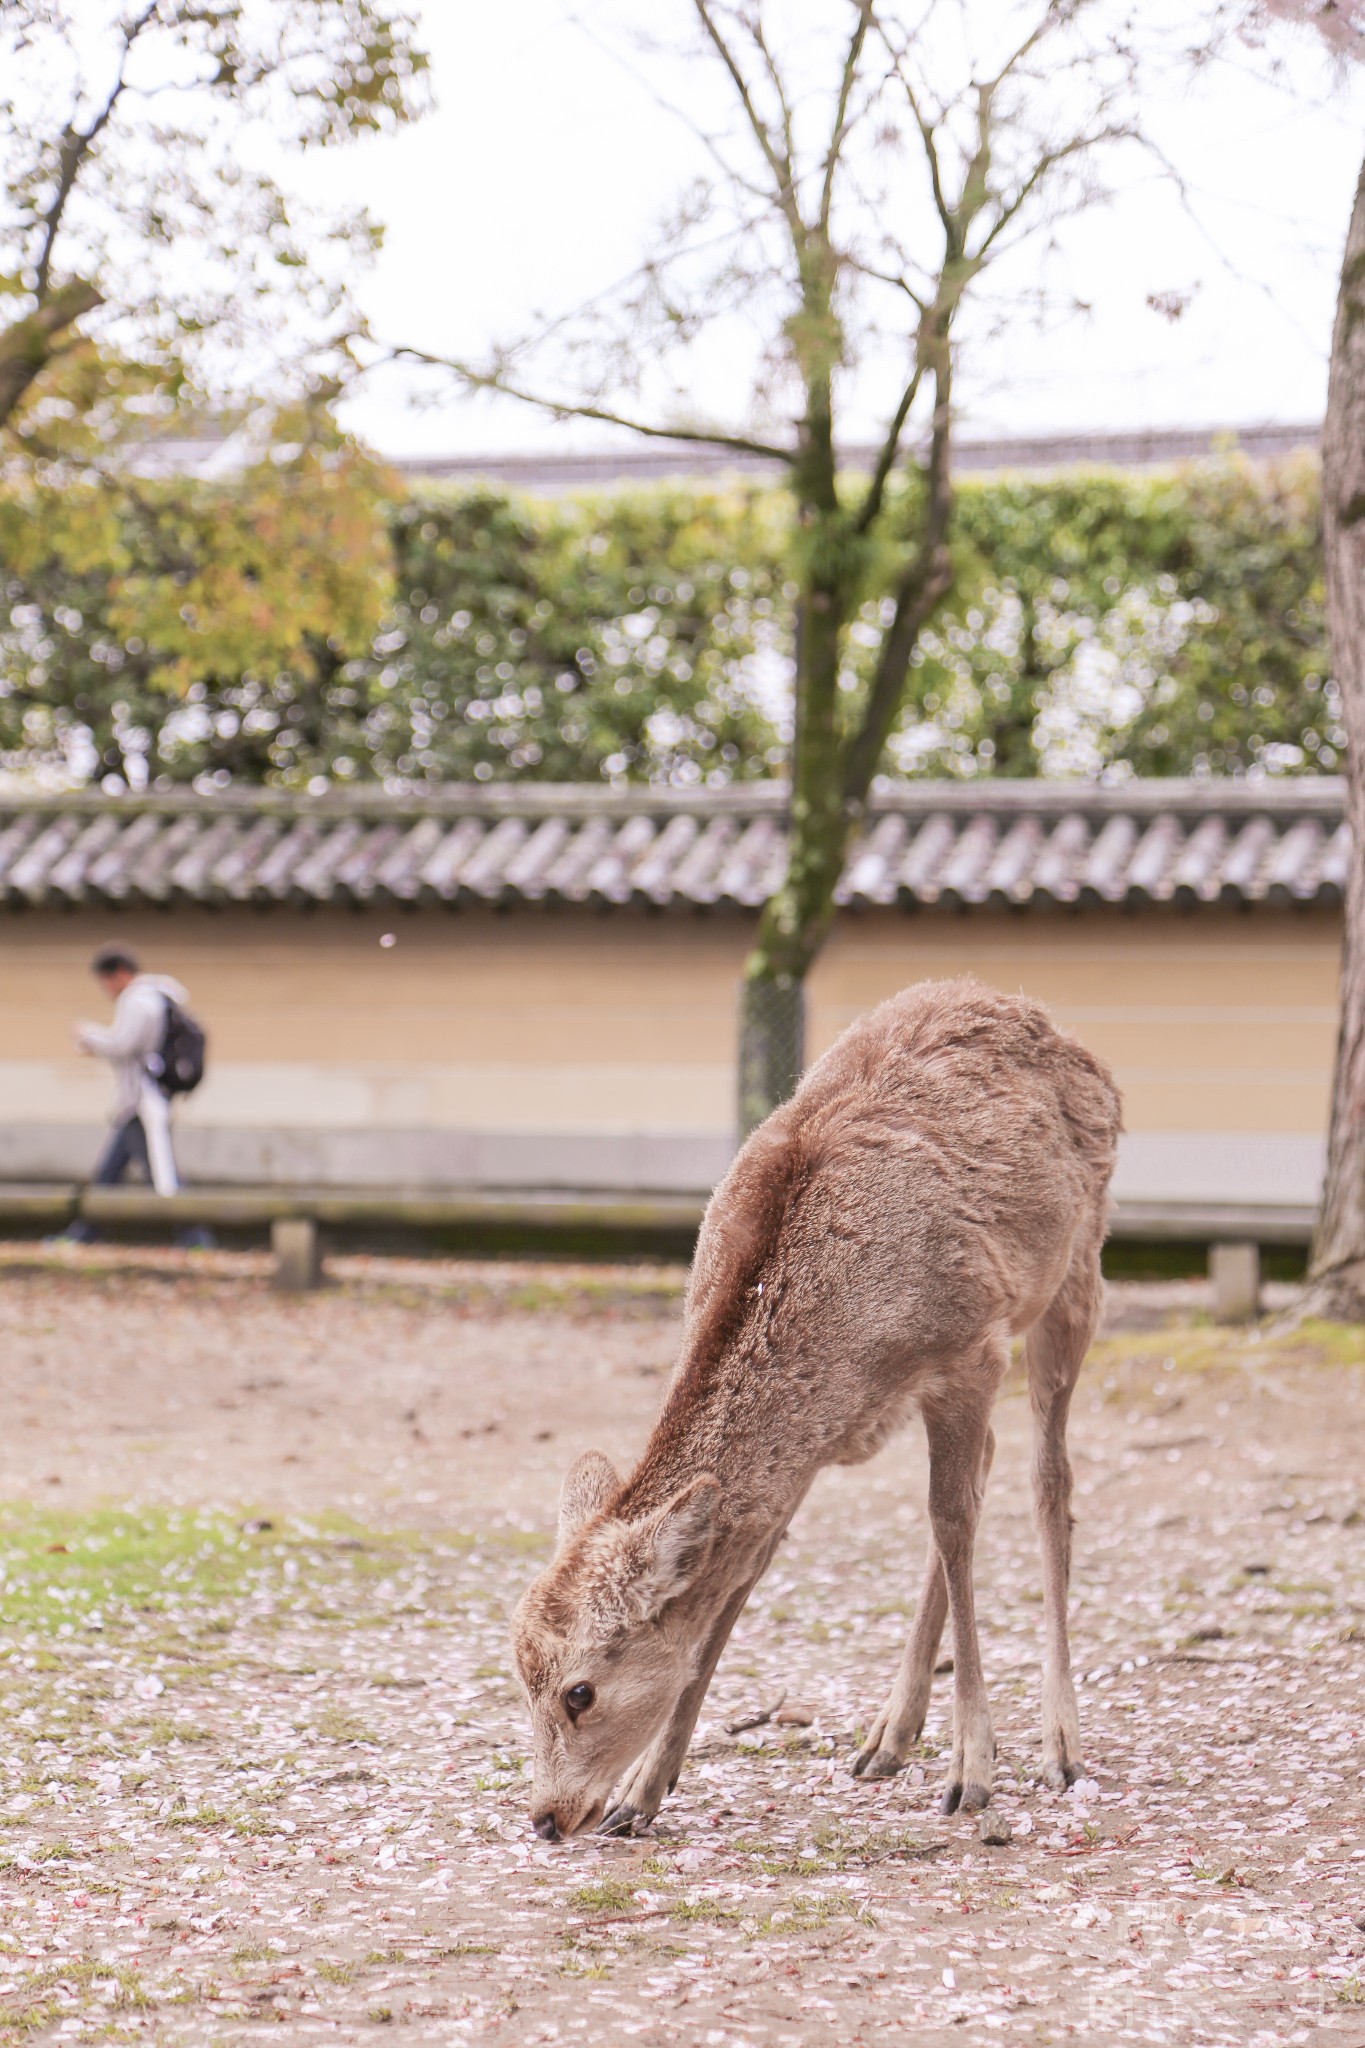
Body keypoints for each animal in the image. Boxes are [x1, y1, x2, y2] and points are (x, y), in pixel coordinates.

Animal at [511, 974, 1121, 1843]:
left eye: (580, 1691)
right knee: (985, 1468)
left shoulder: (970, 1348)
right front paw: (642, 1792)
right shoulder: (811, 1445)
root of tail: (1038, 1017)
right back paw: (888, 1736)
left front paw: (973, 1773)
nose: (546, 1817)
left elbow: (954, 1523)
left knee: (1045, 1479)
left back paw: (1057, 1745)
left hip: (1074, 1272)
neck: (844, 1339)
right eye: (519, 1675)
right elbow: (747, 1571)